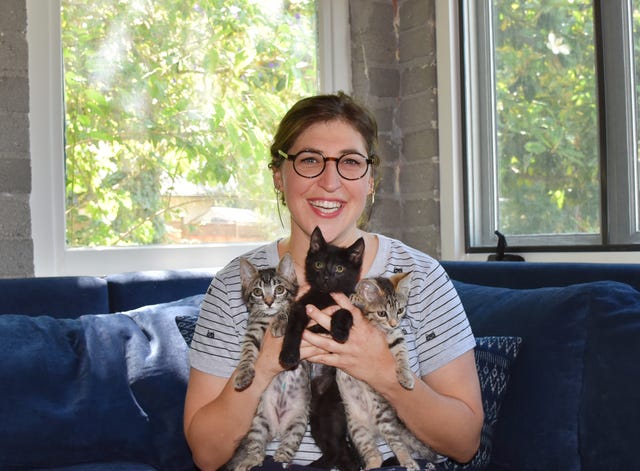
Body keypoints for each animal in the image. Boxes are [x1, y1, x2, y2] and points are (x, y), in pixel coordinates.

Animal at [228, 254, 312, 471]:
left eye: (279, 289)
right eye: (257, 292)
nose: (268, 302)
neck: (268, 317)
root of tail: (278, 428)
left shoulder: (297, 308)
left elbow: (287, 310)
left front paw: (280, 322)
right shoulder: (253, 330)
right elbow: (247, 352)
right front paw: (243, 374)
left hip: (298, 421)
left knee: (289, 443)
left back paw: (281, 457)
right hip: (259, 422)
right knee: (257, 446)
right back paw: (250, 460)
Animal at [338, 272, 442, 471]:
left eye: (400, 310)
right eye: (382, 313)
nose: (393, 323)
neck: (382, 329)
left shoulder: (397, 336)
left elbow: (402, 354)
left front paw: (405, 376)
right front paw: (357, 299)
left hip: (383, 418)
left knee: (397, 443)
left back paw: (407, 461)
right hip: (357, 428)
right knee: (375, 455)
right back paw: (372, 465)